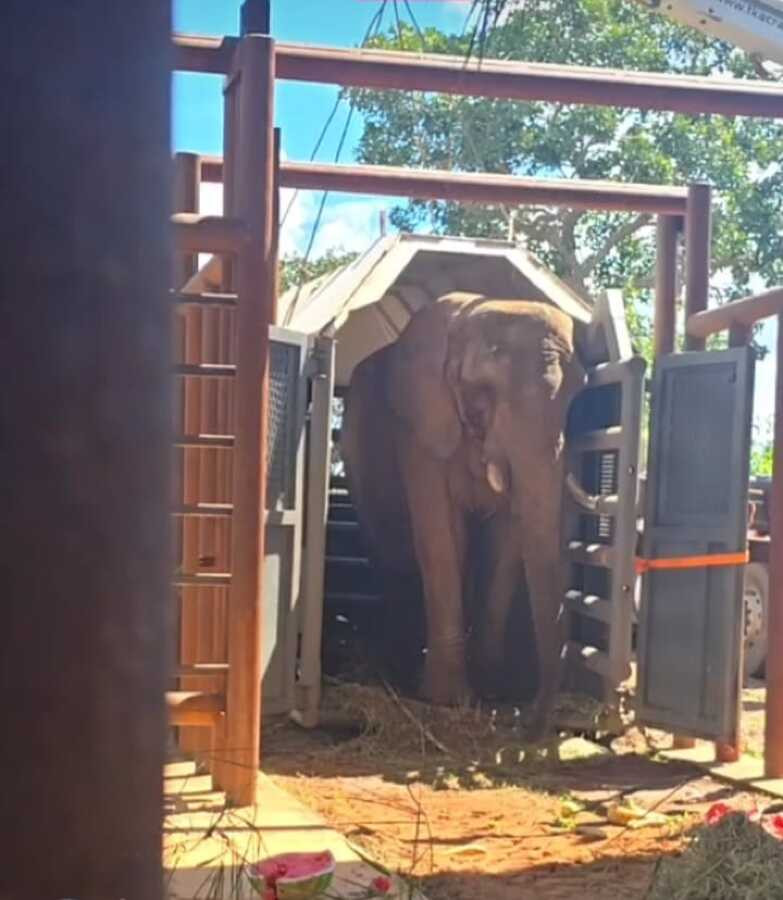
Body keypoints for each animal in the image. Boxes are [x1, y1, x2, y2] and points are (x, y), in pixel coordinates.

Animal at [341, 291, 586, 736]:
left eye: (577, 394)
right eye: (481, 391)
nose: (527, 720)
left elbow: (506, 542)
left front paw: (491, 689)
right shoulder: (420, 427)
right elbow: (441, 538)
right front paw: (448, 699)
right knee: (394, 558)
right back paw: (397, 671)